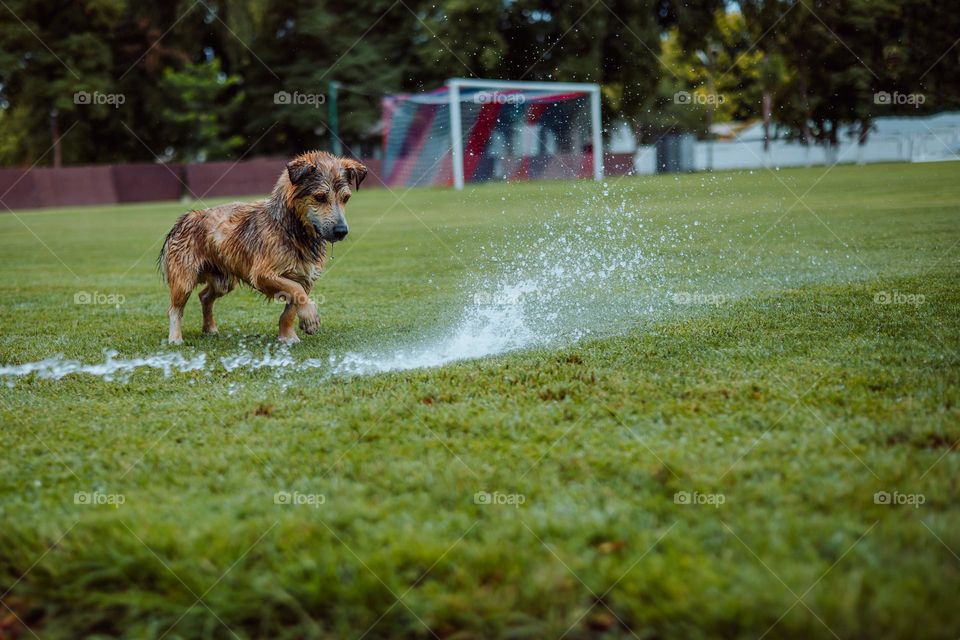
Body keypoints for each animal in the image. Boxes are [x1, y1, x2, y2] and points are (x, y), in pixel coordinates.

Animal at [158, 151, 368, 344]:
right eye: (320, 197)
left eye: (346, 198)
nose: (341, 231)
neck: (290, 228)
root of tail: (183, 219)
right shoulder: (262, 274)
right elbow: (294, 288)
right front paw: (310, 316)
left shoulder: (305, 276)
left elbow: (292, 305)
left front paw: (287, 336)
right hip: (184, 279)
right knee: (174, 309)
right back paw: (175, 338)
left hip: (223, 281)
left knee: (204, 296)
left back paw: (210, 328)